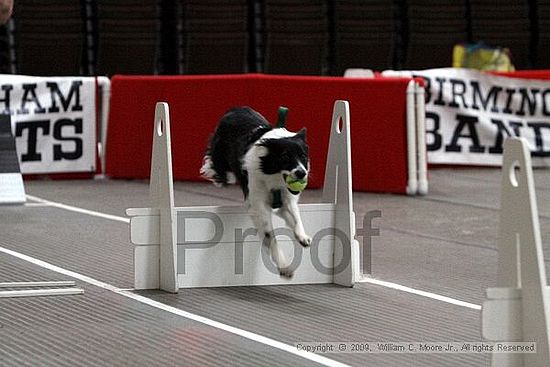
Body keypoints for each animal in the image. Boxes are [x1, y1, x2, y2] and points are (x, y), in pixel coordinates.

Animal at [202, 107, 312, 278]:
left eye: (303, 156)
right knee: (218, 165)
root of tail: (236, 108)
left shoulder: (285, 199)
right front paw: (283, 266)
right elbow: (269, 234)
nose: (302, 173)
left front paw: (302, 236)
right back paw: (220, 177)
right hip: (220, 152)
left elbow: (295, 216)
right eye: (284, 157)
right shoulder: (258, 204)